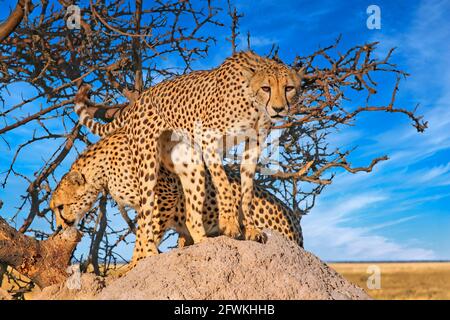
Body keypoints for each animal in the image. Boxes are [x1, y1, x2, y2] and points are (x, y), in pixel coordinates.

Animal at [49, 130, 302, 264]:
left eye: (60, 207)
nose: (60, 227)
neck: (101, 171)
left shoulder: (165, 192)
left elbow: (146, 232)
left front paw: (136, 262)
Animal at [74, 50, 302, 248]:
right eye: (266, 88)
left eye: (289, 88)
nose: (279, 109)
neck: (254, 105)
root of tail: (140, 99)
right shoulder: (209, 140)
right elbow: (224, 185)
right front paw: (229, 224)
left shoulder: (253, 146)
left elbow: (246, 192)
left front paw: (251, 229)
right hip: (148, 166)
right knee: (146, 219)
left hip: (191, 166)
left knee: (191, 216)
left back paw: (204, 242)